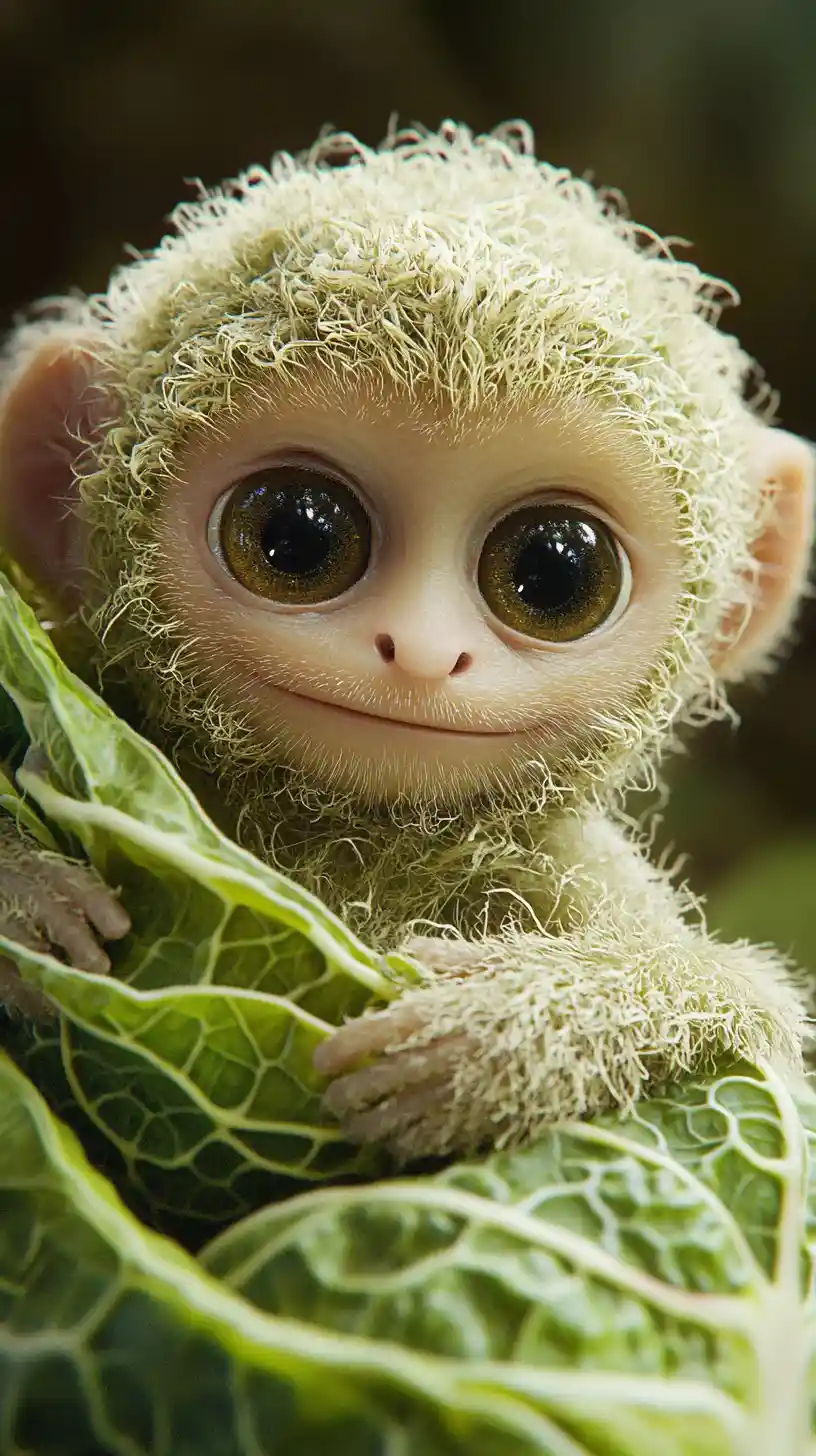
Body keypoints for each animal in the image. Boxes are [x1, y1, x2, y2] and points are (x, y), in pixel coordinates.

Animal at [0, 121, 812, 1162]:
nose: (422, 653)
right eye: (294, 536)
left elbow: (749, 1020)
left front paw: (493, 1035)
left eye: (556, 573)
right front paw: (26, 896)